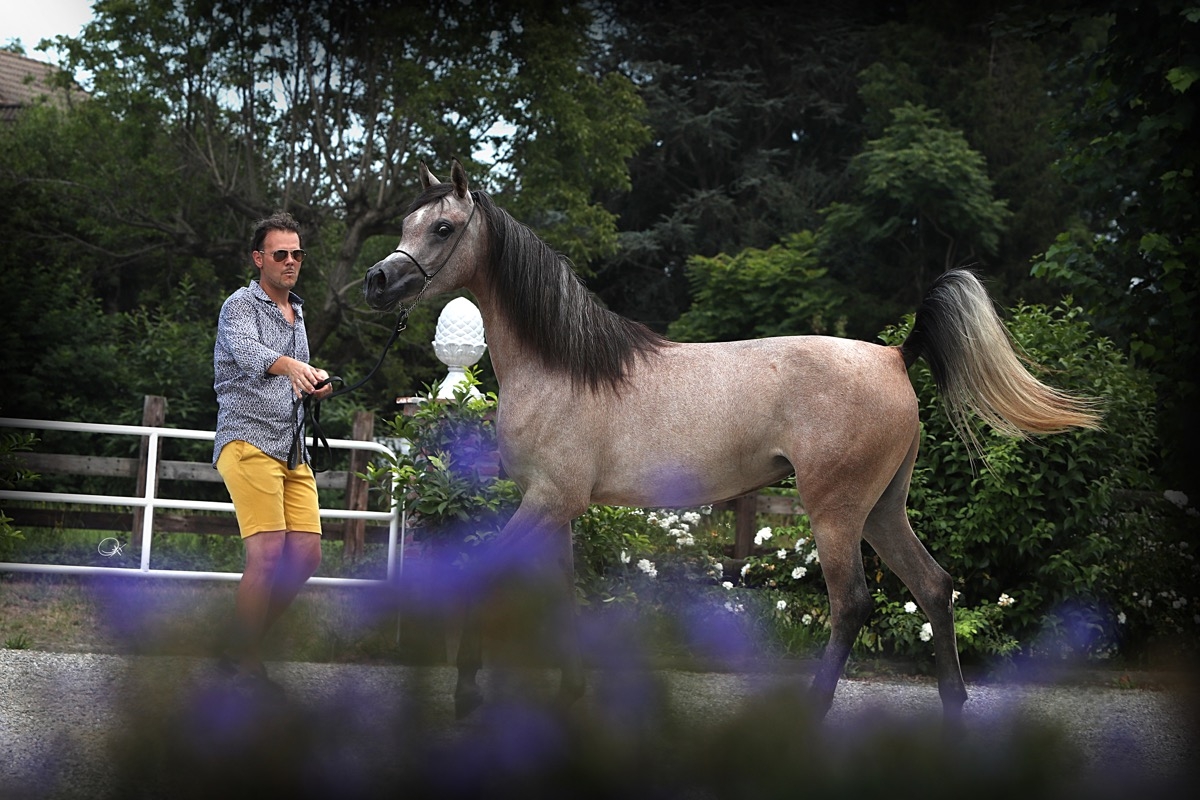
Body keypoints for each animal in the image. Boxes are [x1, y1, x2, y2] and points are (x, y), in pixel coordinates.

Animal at [363, 160, 1101, 723]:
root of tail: (895, 355)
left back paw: (812, 710)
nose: (377, 281)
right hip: (884, 510)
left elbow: (483, 578)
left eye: (443, 227)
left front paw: (466, 694)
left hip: (836, 514)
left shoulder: (547, 502)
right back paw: (952, 709)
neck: (564, 366)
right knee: (934, 587)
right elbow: (563, 599)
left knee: (852, 604)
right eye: (404, 225)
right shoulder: (560, 511)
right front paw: (570, 693)